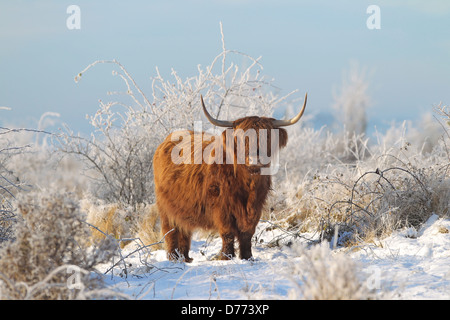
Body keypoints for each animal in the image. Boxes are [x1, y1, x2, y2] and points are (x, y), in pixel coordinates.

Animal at [154, 93, 306, 262]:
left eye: (267, 137)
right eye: (241, 138)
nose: (255, 160)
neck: (248, 185)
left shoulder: (256, 207)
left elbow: (247, 234)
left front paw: (247, 257)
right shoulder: (221, 207)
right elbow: (228, 233)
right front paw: (226, 257)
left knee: (184, 231)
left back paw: (185, 258)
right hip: (165, 207)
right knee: (170, 231)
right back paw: (173, 258)